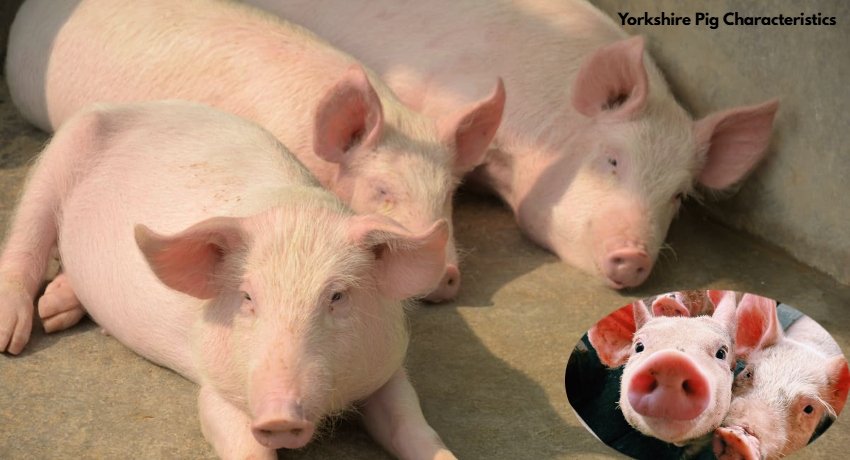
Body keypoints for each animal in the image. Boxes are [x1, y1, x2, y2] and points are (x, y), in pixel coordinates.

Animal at [0, 100, 456, 459]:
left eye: (338, 296)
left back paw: (55, 310)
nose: (279, 416)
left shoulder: (388, 364)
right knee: (26, 236)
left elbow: (411, 425)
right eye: (247, 297)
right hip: (58, 156)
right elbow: (245, 444)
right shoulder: (214, 385)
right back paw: (12, 340)